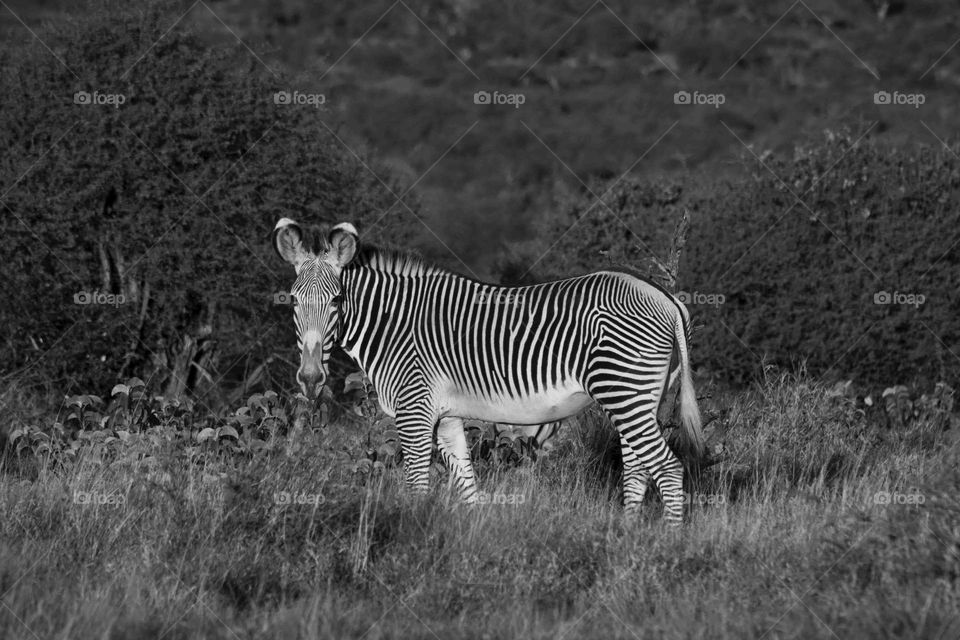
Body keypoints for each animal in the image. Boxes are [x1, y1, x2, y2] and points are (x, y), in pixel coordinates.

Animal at [273, 219, 704, 523]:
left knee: (667, 468)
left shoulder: (414, 412)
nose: (310, 379)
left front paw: (408, 535)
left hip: (623, 390)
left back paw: (667, 544)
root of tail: (665, 297)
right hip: (637, 396)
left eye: (336, 300)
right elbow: (468, 489)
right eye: (292, 301)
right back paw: (627, 537)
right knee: (637, 469)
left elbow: (416, 487)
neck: (394, 324)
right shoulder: (445, 416)